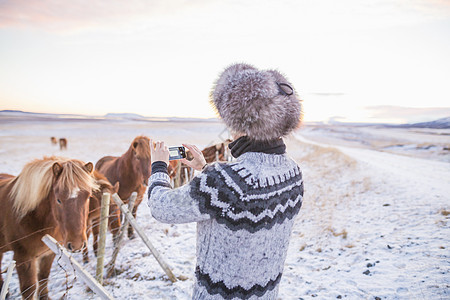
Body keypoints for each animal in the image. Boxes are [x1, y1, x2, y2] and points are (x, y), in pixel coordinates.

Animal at [0, 156, 96, 298]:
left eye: (88, 197)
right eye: (58, 200)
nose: (77, 244)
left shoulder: (48, 254)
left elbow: (43, 278)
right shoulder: (23, 258)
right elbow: (29, 289)